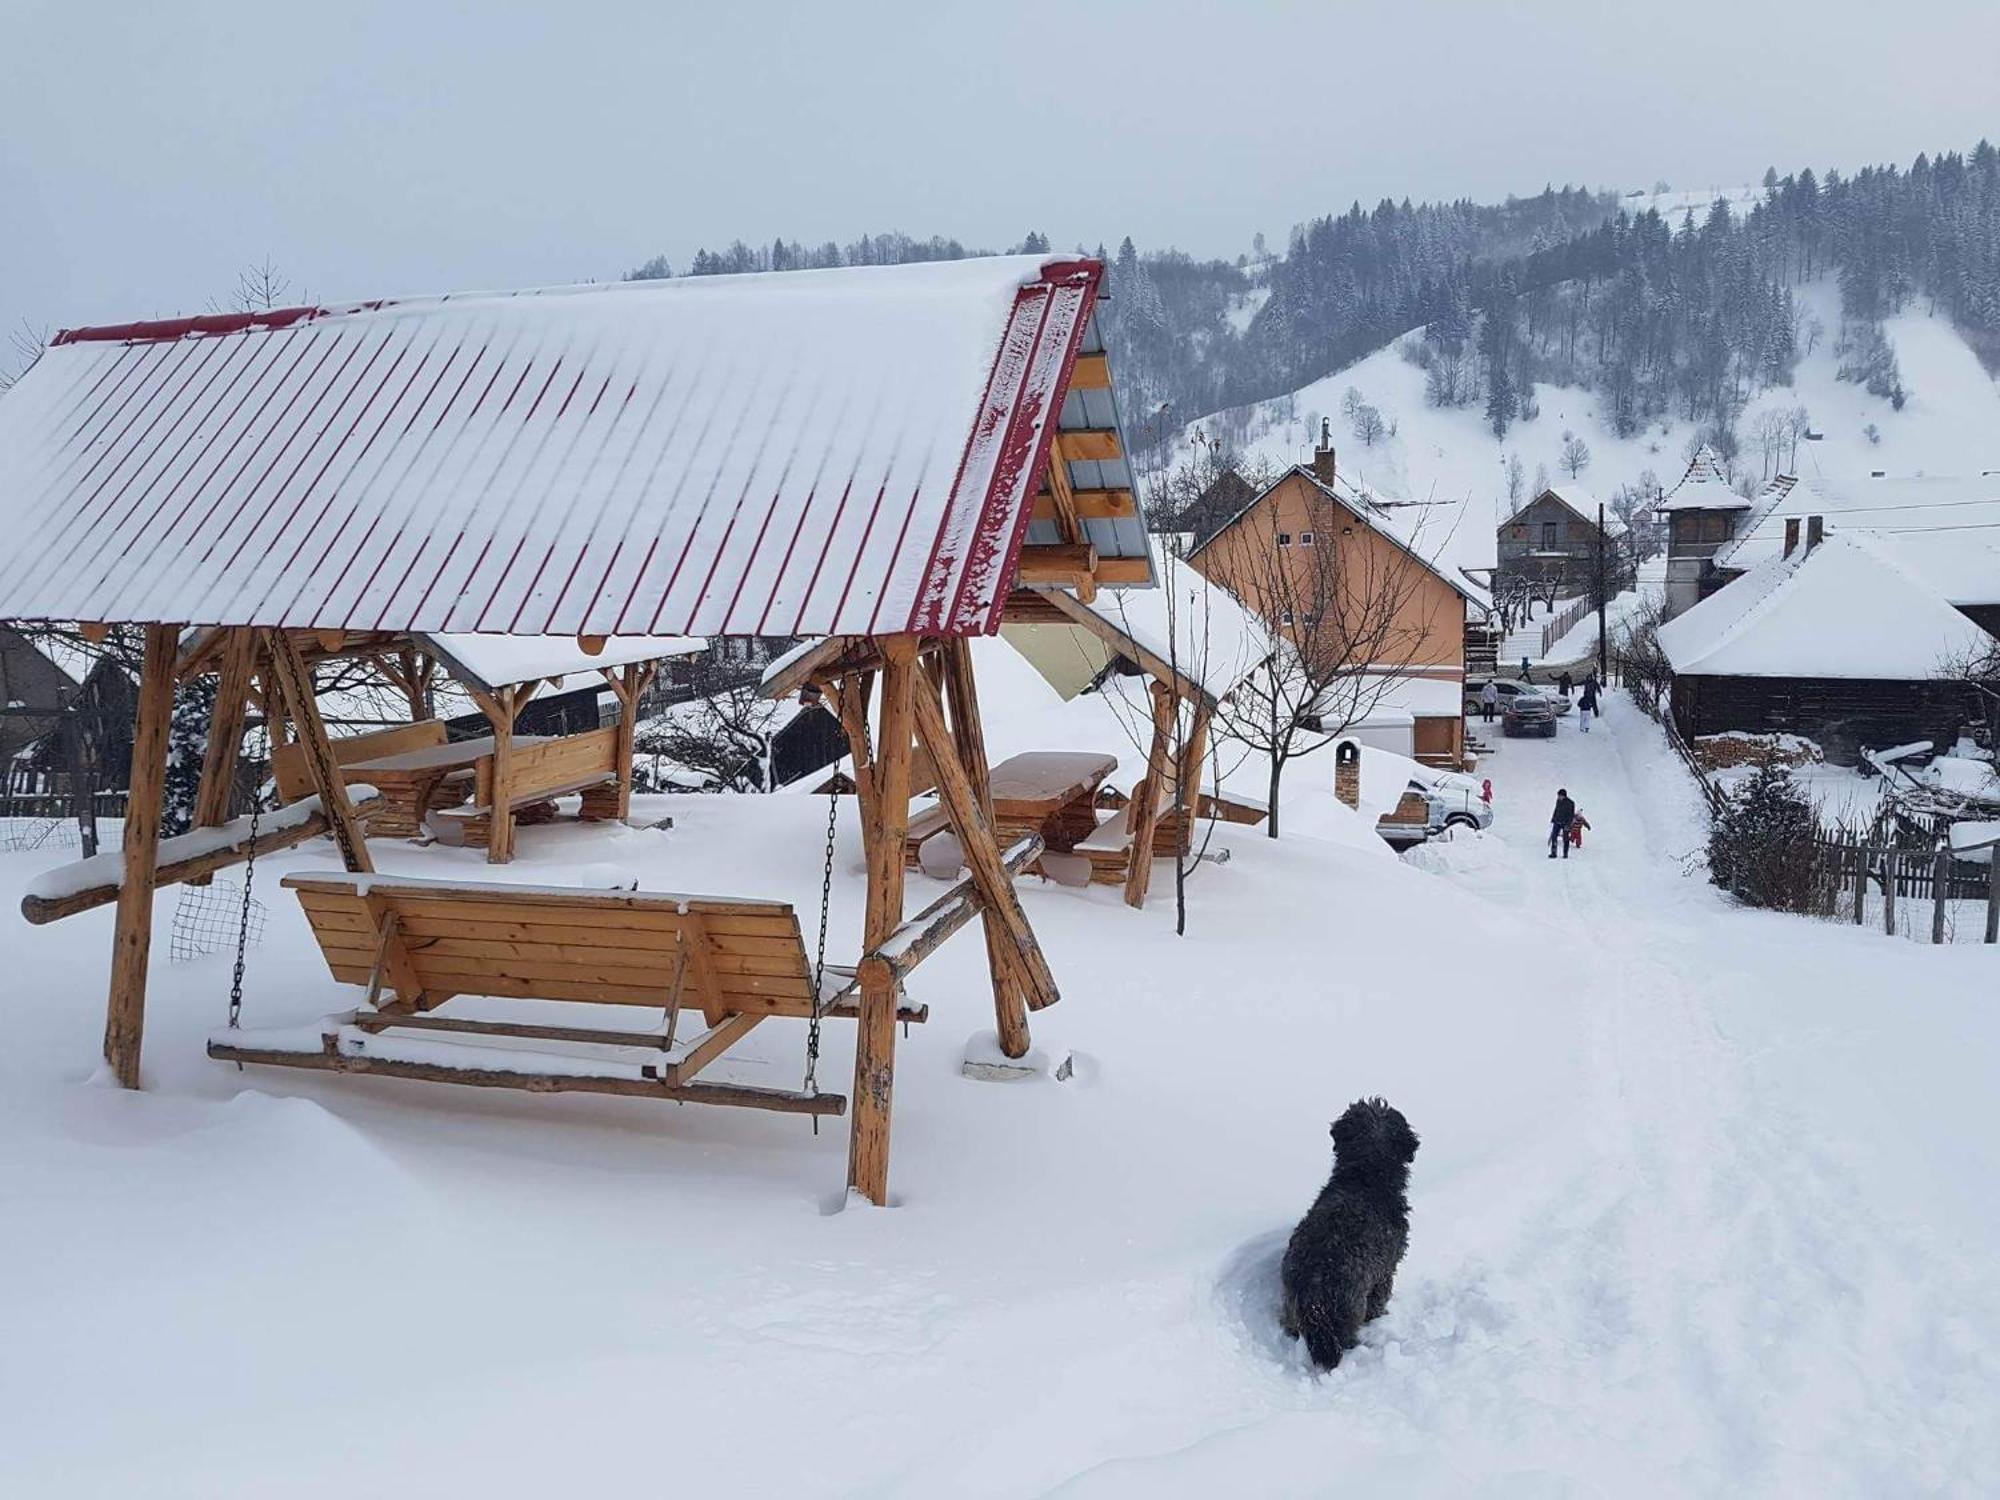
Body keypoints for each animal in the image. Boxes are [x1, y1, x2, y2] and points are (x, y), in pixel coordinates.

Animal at [1280, 1096, 1424, 1368]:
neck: (1366, 1177)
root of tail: (1314, 1284)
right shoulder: (1384, 1273)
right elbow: (1379, 1301)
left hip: (1291, 1303)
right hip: (1350, 1308)